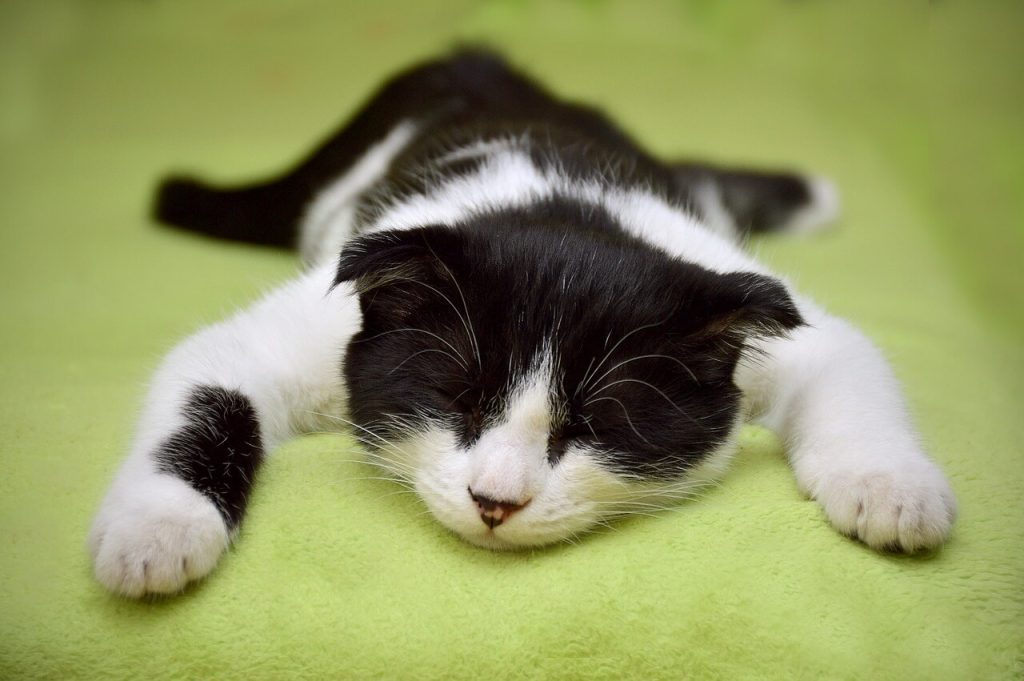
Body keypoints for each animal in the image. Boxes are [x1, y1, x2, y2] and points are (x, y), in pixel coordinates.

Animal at [86, 51, 950, 593]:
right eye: (458, 401)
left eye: (592, 425)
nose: (494, 500)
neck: (558, 208)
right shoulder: (313, 325)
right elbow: (215, 373)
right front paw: (157, 531)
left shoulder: (726, 285)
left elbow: (845, 357)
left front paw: (891, 488)